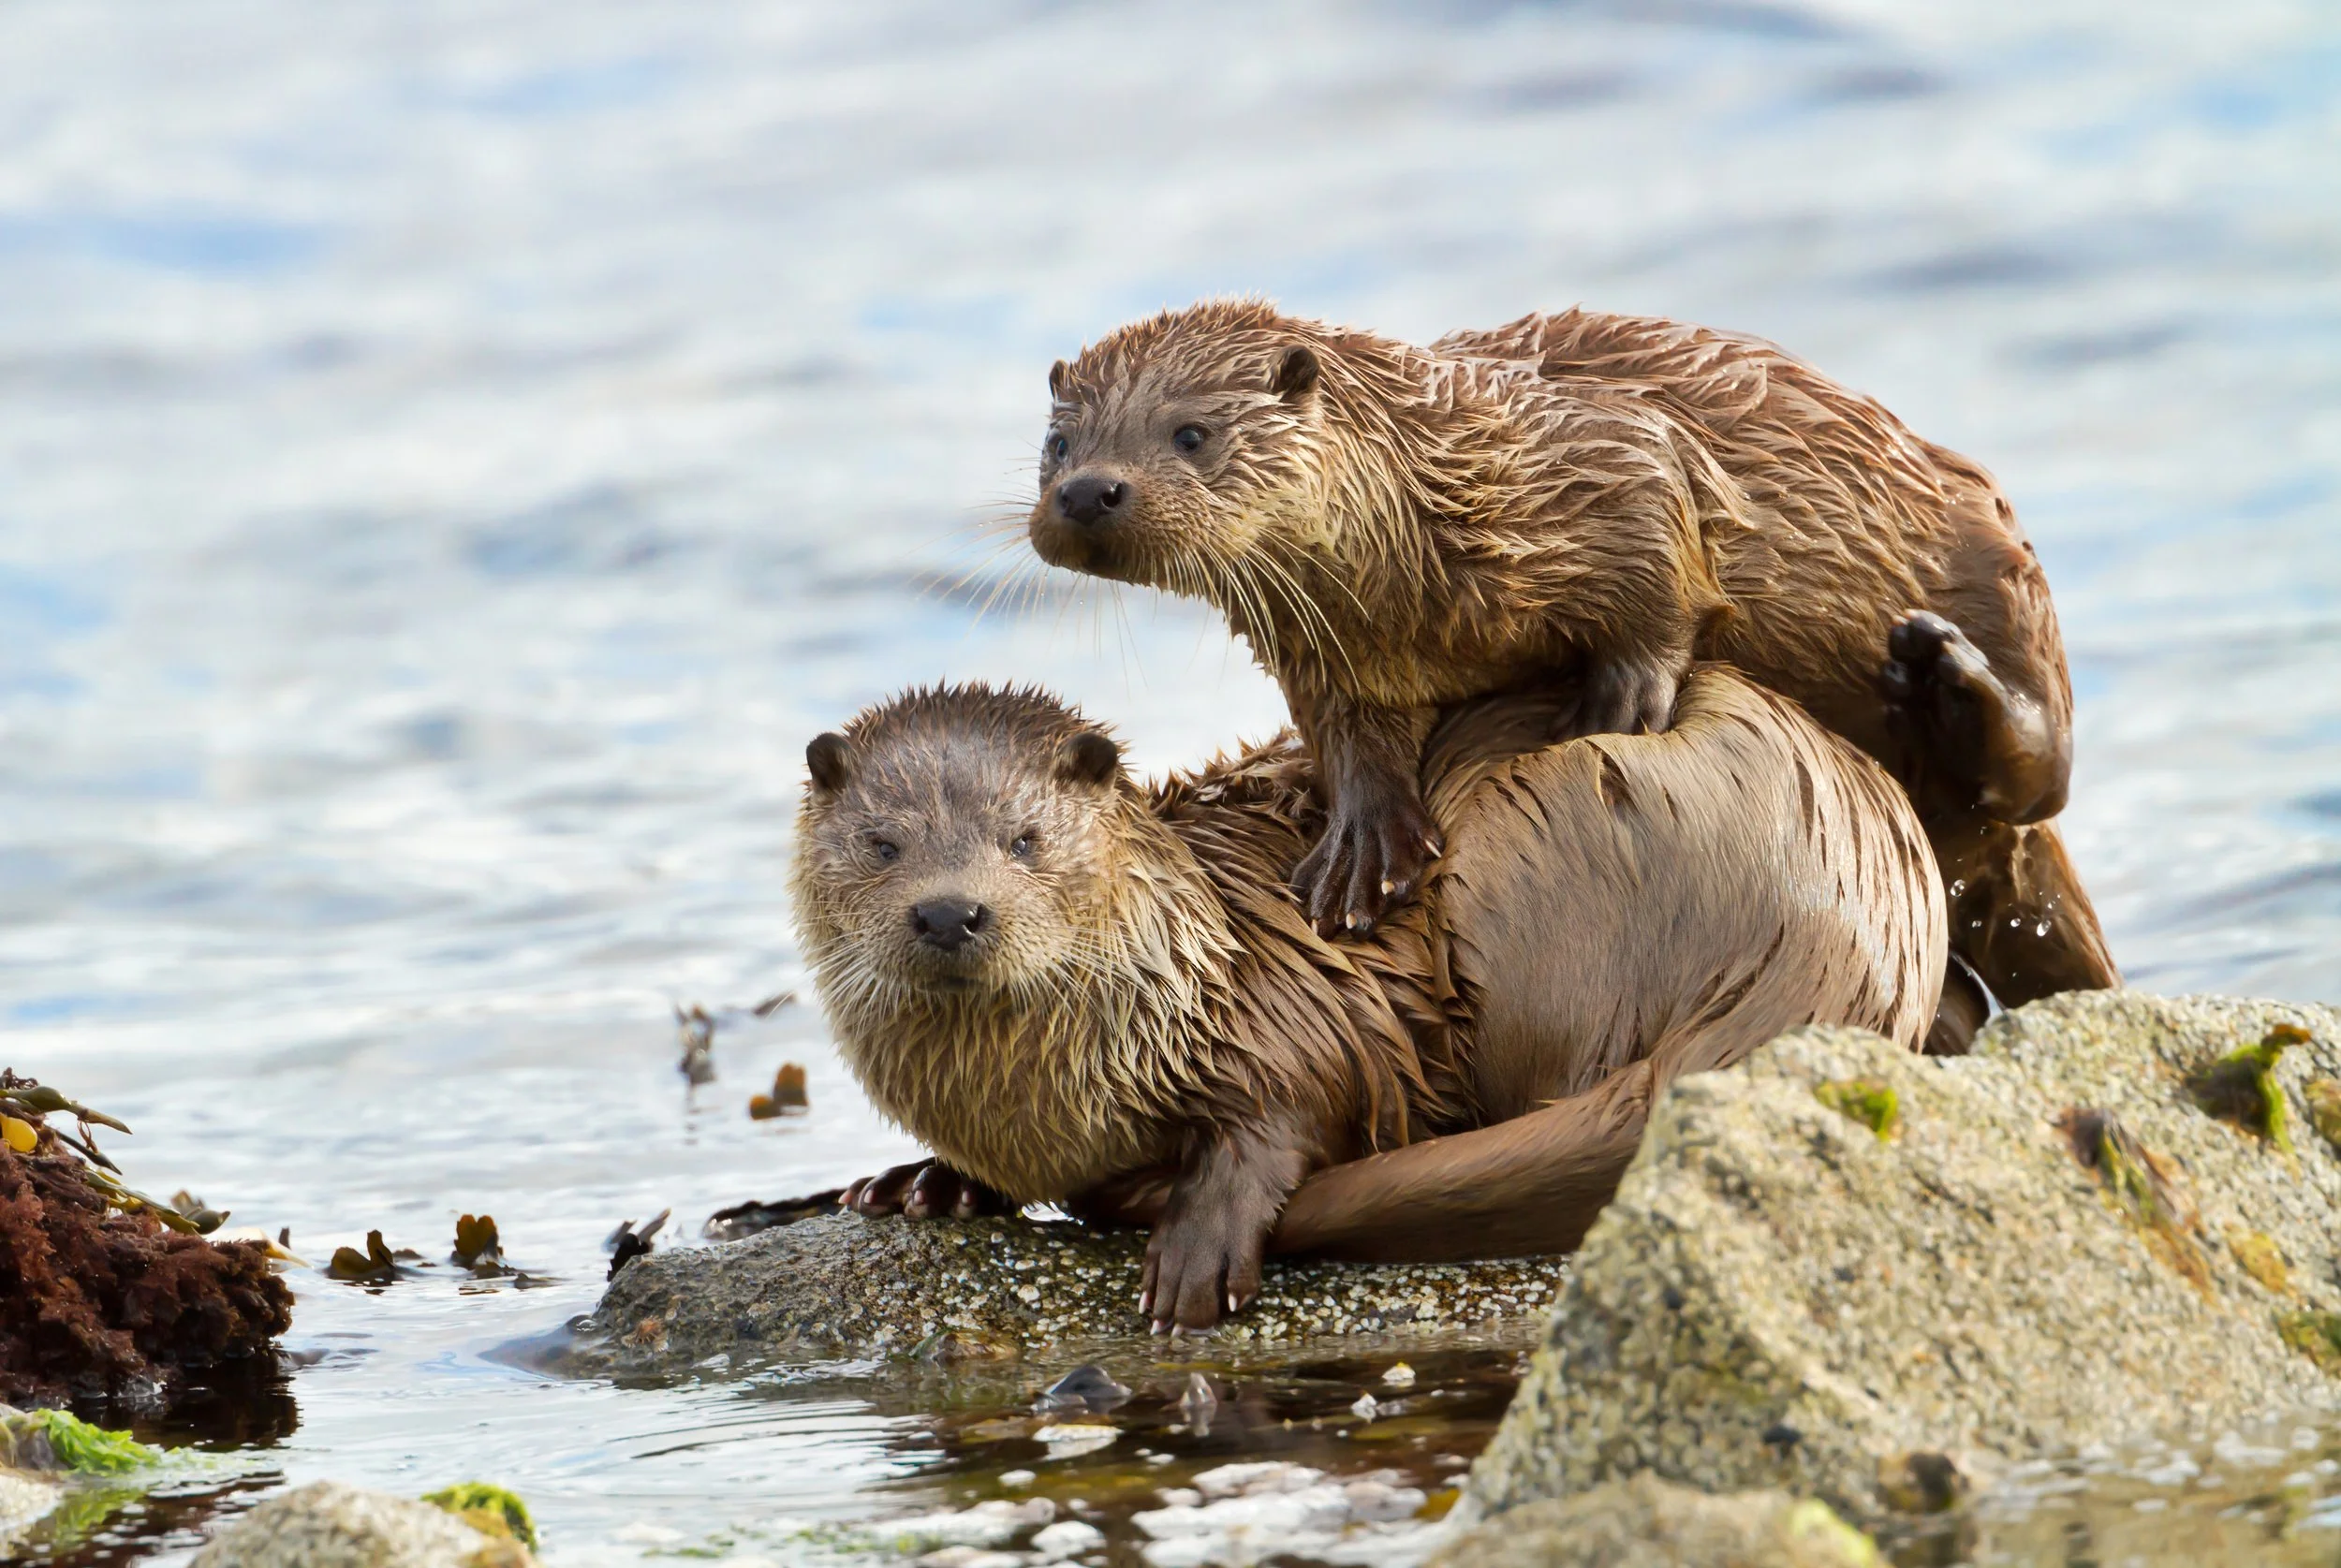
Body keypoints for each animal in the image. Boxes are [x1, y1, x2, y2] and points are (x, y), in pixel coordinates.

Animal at [793, 668, 1944, 1331]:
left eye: (1025, 838)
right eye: (882, 843)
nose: (951, 911)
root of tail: (1841, 937)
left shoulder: (1309, 991)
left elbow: (1298, 1100)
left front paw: (1201, 1240)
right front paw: (923, 1182)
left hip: (1546, 842)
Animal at [1024, 302, 2115, 1012]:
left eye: (1191, 433)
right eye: (1057, 443)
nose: (1087, 492)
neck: (1426, 525)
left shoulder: (1616, 455)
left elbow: (1665, 569)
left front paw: (1615, 706)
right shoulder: (1333, 654)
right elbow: (1352, 739)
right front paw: (1361, 850)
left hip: (2001, 567)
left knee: (2043, 771)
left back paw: (1942, 677)